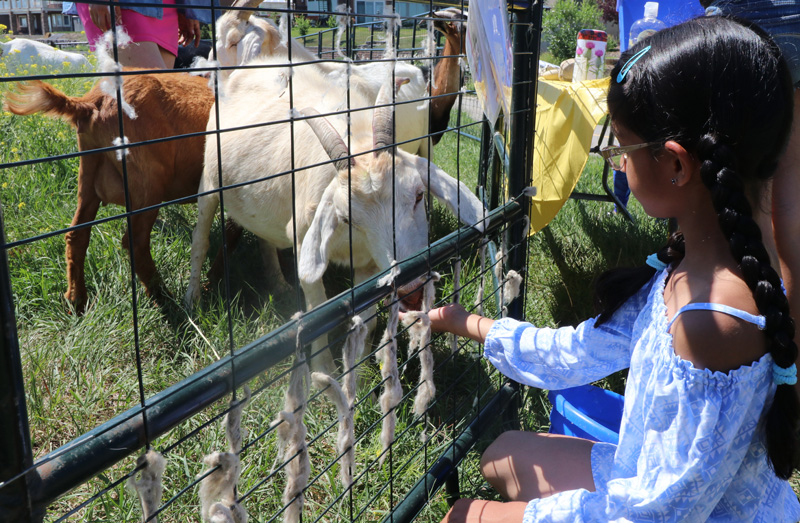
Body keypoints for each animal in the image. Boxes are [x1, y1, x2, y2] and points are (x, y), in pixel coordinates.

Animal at [3, 71, 214, 314]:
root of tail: (91, 103)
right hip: (148, 182)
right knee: (135, 242)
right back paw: (164, 298)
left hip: (88, 173)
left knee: (77, 235)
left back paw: (77, 301)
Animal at [186, 58, 488, 372]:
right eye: (348, 218)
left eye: (419, 195)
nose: (413, 291)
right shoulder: (304, 239)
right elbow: (318, 317)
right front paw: (324, 372)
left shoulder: (370, 263)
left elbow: (368, 320)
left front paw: (360, 365)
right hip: (209, 181)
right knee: (200, 238)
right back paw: (192, 300)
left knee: (265, 238)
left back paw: (279, 284)